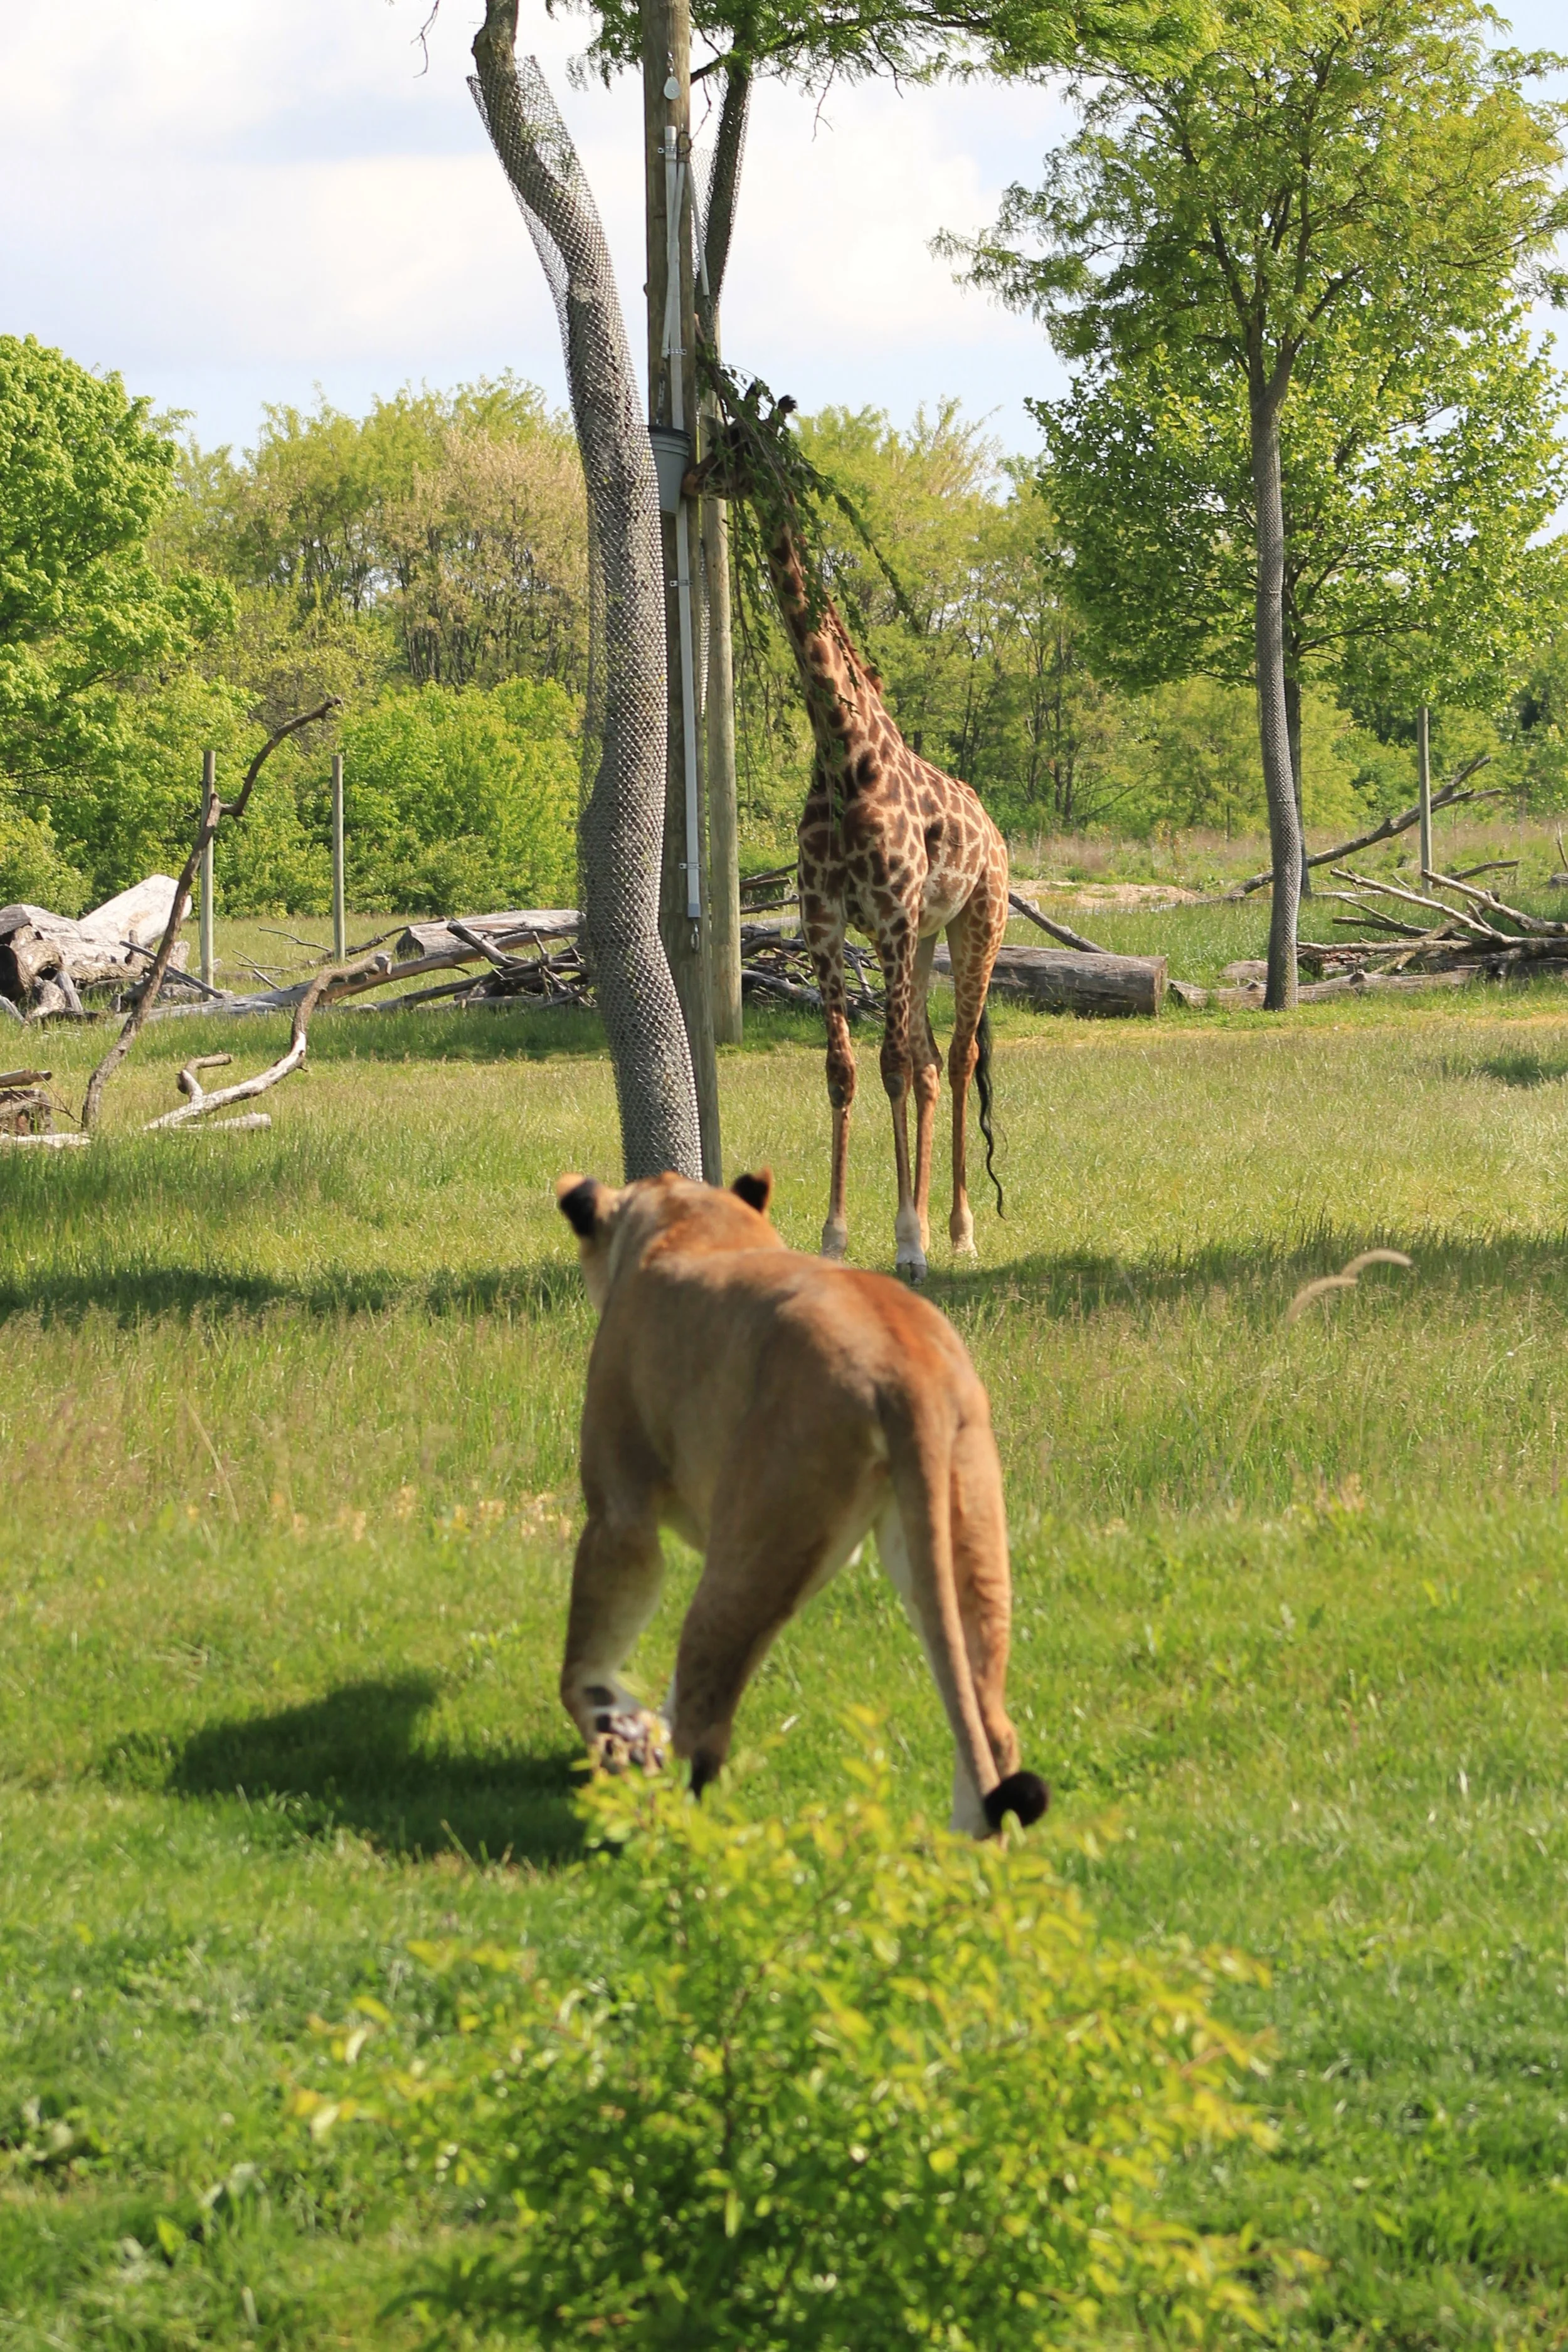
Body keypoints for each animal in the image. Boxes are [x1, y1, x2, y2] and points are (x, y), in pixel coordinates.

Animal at [555, 1166, 1047, 1837]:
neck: (690, 1216)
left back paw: (672, 1833)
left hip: (754, 1543)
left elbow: (587, 1655)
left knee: (704, 1730)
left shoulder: (618, 1509)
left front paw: (618, 1732)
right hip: (957, 1537)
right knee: (989, 1723)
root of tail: (904, 1366)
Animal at [688, 418, 1009, 1282]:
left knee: (955, 1055)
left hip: (975, 925)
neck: (842, 755)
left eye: (737, 445)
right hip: (928, 937)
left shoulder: (890, 920)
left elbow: (891, 1063)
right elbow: (845, 1068)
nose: (692, 479)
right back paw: (935, 1220)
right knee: (929, 1061)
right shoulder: (827, 922)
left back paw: (957, 1230)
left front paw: (905, 1241)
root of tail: (996, 830)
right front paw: (836, 1236)